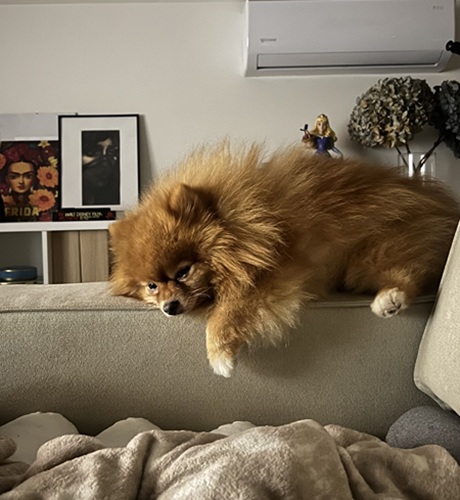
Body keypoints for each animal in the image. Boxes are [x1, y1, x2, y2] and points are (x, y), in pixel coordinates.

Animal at [109, 142, 460, 377]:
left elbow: (227, 310)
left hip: (373, 253)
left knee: (413, 270)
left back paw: (389, 299)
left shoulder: (274, 273)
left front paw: (218, 354)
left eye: (183, 272)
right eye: (151, 286)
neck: (244, 224)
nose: (169, 307)